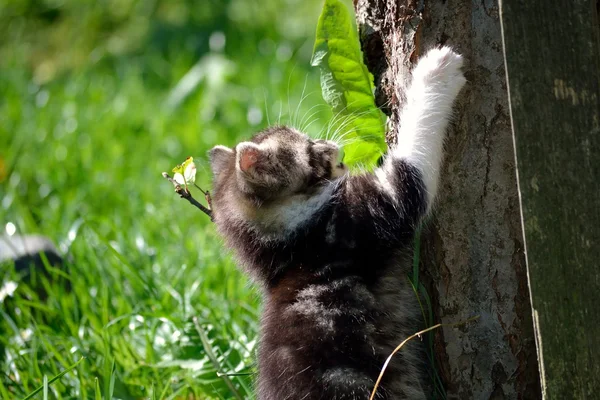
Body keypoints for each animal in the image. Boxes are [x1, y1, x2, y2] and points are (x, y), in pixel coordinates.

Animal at [209, 47, 466, 400]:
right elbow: (413, 153)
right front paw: (435, 72)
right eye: (309, 150)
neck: (296, 243)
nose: (331, 145)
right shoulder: (378, 207)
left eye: (309, 139)